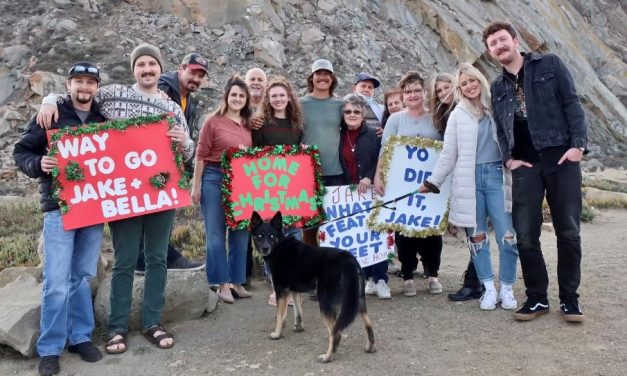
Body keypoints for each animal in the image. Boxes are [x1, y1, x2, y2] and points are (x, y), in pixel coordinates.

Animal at [251, 212, 378, 362]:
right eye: (260, 235)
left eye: (271, 236)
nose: (265, 248)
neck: (279, 245)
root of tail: (349, 259)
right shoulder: (294, 291)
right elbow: (298, 312)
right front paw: (298, 327)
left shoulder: (281, 292)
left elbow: (280, 317)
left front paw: (277, 334)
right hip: (358, 300)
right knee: (368, 324)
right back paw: (370, 347)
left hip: (325, 301)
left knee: (335, 332)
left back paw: (327, 356)